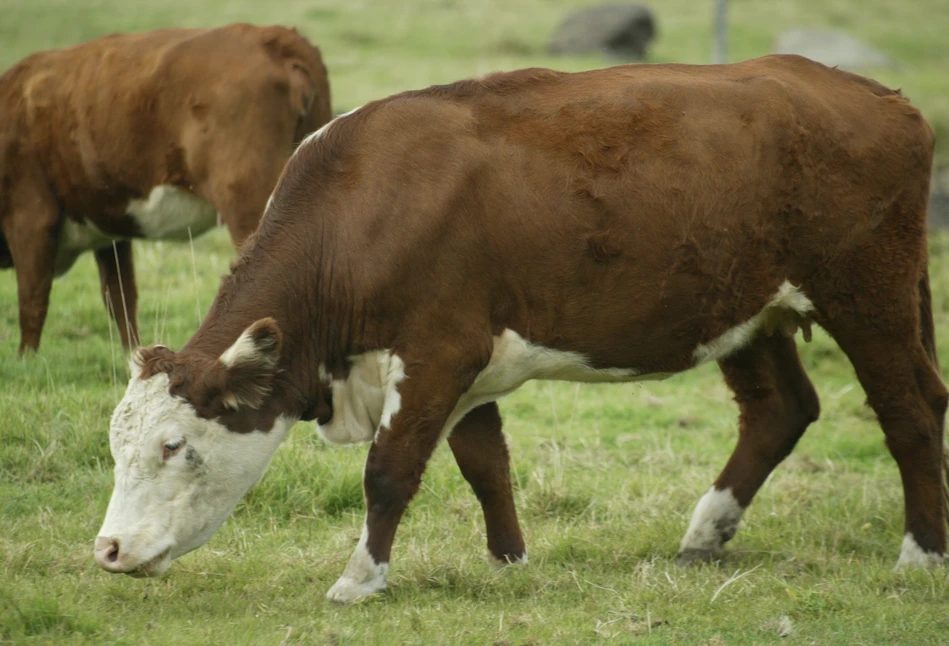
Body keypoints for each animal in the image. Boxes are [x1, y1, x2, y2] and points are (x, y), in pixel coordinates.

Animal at [0, 22, 334, 354]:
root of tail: (278, 36)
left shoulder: (31, 218)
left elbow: (32, 299)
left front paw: (26, 358)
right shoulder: (109, 231)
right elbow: (121, 298)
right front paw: (131, 353)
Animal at [92, 53, 944, 604]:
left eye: (173, 445)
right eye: (116, 444)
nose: (107, 549)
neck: (365, 210)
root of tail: (884, 99)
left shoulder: (438, 352)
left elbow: (390, 471)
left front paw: (360, 579)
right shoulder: (467, 362)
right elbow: (484, 465)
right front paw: (510, 563)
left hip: (868, 295)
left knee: (908, 411)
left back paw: (919, 554)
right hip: (746, 311)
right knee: (779, 410)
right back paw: (704, 535)